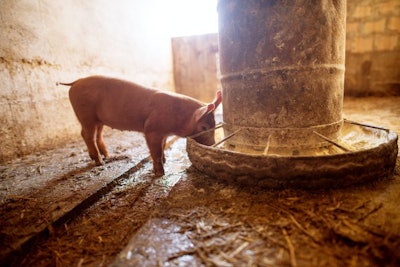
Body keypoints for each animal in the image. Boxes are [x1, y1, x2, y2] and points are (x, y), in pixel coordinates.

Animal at [58, 76, 222, 176]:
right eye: (204, 127)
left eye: (214, 124)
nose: (213, 144)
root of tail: (75, 82)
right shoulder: (151, 129)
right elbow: (155, 151)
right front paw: (160, 173)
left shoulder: (163, 134)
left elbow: (162, 147)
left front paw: (165, 161)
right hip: (86, 115)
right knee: (87, 135)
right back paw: (99, 162)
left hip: (98, 120)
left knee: (96, 135)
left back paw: (107, 155)